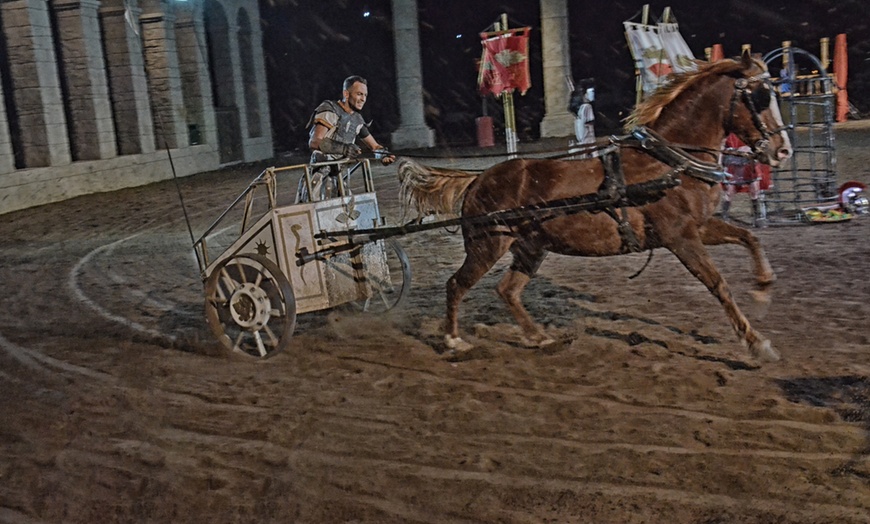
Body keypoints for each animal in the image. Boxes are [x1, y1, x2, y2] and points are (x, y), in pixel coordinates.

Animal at [404, 53, 796, 362]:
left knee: (508, 290)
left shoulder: (699, 226)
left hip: (531, 247)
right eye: (760, 97)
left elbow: (748, 237)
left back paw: (539, 337)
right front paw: (756, 343)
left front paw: (763, 285)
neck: (671, 161)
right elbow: (718, 283)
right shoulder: (680, 237)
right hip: (488, 244)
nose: (783, 151)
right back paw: (454, 341)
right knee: (456, 284)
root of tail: (477, 180)